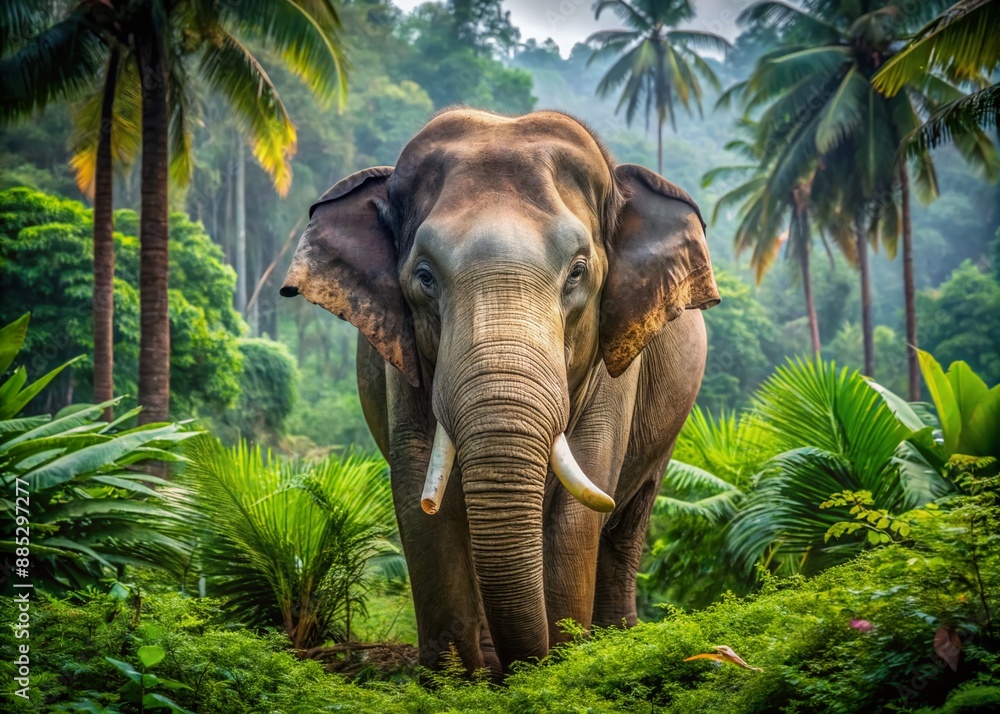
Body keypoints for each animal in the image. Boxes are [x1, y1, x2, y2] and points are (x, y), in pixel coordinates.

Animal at [280, 108, 719, 678]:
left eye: (579, 271)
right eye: (424, 276)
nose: (526, 666)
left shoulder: (615, 362)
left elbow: (583, 496)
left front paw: (563, 665)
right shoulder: (404, 358)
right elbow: (419, 492)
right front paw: (455, 680)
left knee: (627, 521)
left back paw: (615, 637)